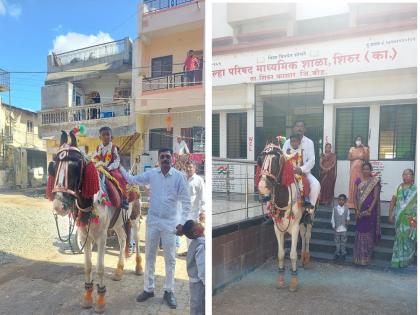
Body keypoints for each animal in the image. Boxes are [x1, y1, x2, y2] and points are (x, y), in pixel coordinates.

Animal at [47, 131, 144, 314]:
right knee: (122, 239)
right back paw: (119, 270)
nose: (59, 206)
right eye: (53, 166)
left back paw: (138, 267)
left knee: (134, 238)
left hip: (134, 217)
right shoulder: (85, 235)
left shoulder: (101, 236)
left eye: (76, 166)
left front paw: (100, 300)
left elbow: (99, 268)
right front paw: (87, 297)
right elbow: (88, 266)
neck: (90, 201)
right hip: (118, 223)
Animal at [256, 144, 306, 292]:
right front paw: (281, 279)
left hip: (305, 223)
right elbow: (281, 253)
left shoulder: (295, 227)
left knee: (305, 238)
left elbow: (293, 255)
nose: (262, 186)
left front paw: (294, 282)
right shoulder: (277, 228)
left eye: (276, 161)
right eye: (261, 159)